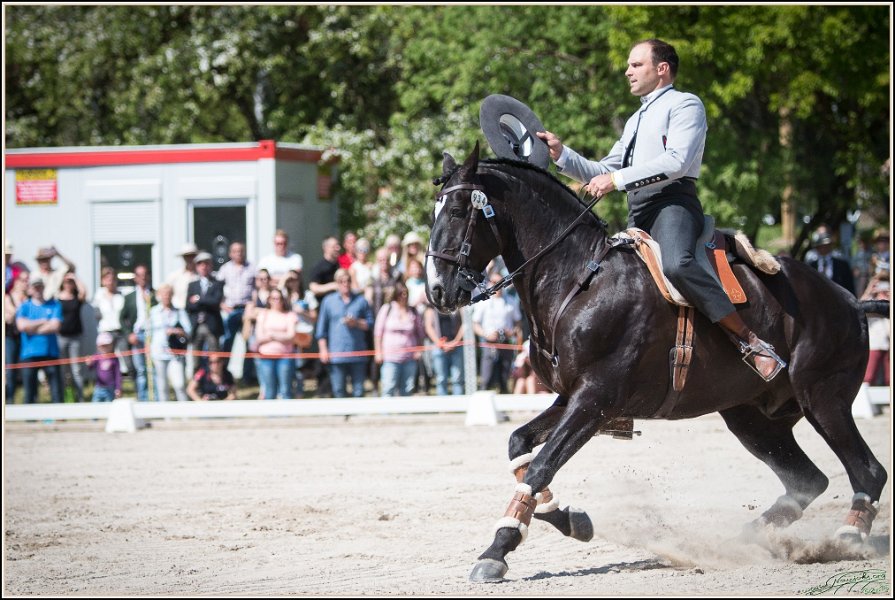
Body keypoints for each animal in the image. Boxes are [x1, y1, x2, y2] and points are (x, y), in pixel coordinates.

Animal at [424, 143, 888, 583]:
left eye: (460, 210)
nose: (437, 291)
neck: (579, 278)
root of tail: (850, 300)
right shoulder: (571, 398)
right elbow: (519, 446)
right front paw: (571, 519)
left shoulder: (595, 401)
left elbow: (540, 467)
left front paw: (497, 550)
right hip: (753, 419)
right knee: (808, 481)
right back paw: (743, 540)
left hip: (823, 401)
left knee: (868, 473)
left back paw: (847, 538)